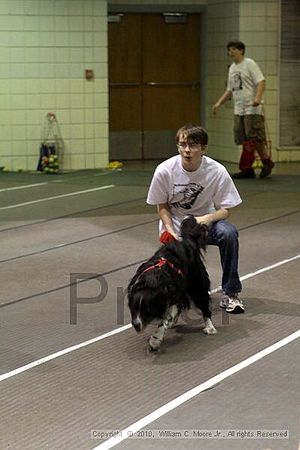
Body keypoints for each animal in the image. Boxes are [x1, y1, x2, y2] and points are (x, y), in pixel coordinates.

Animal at [126, 215, 216, 352]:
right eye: (133, 307)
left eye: (147, 309)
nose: (136, 324)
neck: (150, 281)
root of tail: (188, 241)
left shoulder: (170, 296)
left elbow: (164, 320)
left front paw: (155, 340)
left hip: (197, 283)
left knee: (203, 303)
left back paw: (209, 327)